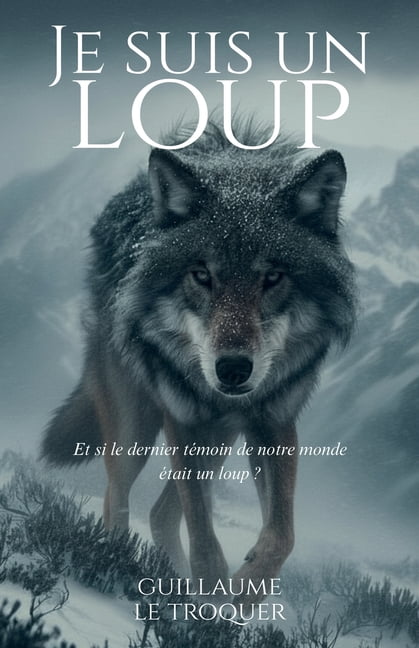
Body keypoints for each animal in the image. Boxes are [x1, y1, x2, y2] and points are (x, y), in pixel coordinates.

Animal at [41, 121, 356, 605]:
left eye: (273, 277)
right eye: (202, 275)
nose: (233, 369)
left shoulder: (273, 422)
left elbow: (282, 536)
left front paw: (240, 596)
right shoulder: (183, 419)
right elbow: (204, 537)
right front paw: (210, 599)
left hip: (219, 437)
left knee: (159, 512)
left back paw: (169, 576)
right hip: (135, 427)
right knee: (118, 497)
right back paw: (119, 565)